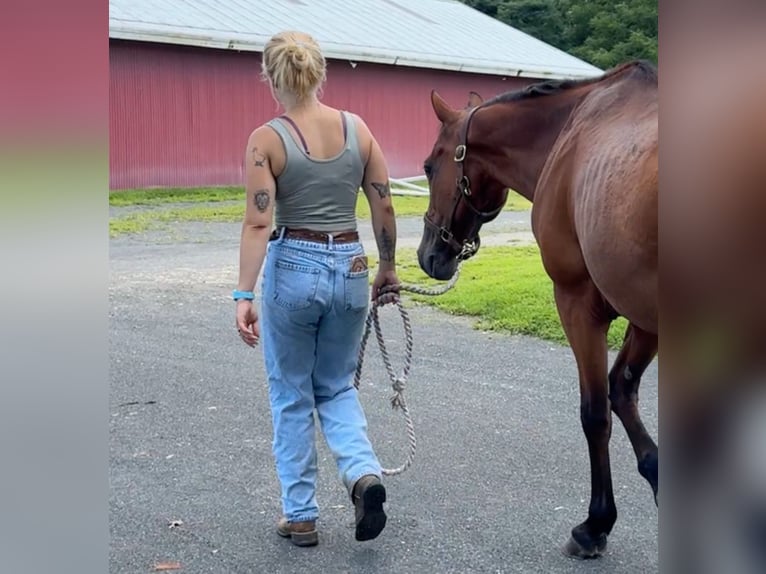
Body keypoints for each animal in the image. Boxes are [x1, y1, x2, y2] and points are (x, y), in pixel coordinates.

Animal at [420, 60, 660, 560]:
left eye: (429, 167)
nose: (429, 255)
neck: (572, 133)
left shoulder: (577, 301)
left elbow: (596, 412)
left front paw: (595, 523)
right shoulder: (644, 313)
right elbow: (622, 390)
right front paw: (657, 474)